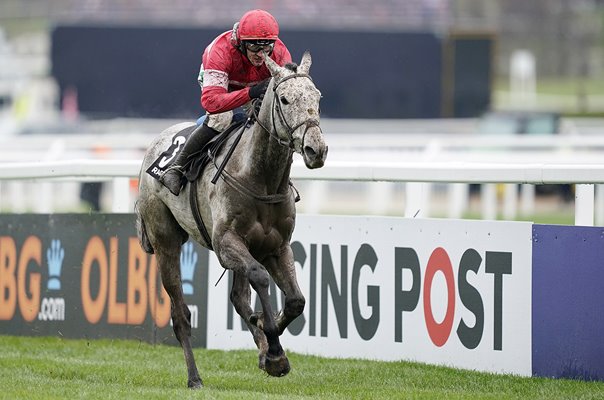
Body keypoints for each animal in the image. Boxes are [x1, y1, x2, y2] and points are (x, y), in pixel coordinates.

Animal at [135, 50, 328, 388]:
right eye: (285, 99)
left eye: (316, 96)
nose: (315, 149)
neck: (261, 179)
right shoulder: (227, 243)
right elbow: (261, 278)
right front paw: (272, 345)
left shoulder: (277, 247)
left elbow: (295, 301)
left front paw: (270, 344)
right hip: (165, 242)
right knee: (181, 315)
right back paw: (195, 377)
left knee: (239, 298)